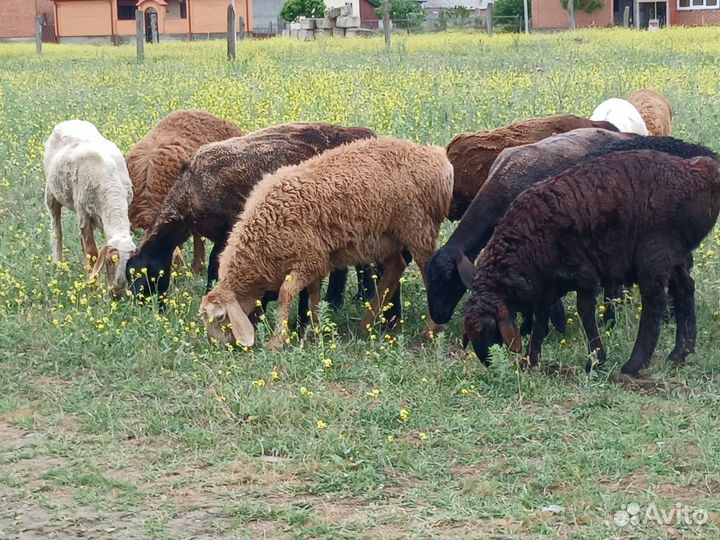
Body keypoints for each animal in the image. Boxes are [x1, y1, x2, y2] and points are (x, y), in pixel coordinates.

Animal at [44, 120, 136, 297]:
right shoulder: (84, 215)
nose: (117, 294)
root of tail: (70, 121)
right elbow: (92, 252)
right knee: (56, 230)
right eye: (109, 261)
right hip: (52, 193)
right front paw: (94, 291)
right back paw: (58, 265)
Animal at [200, 137, 453, 349]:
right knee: (395, 267)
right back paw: (366, 325)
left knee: (426, 270)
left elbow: (285, 294)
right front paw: (314, 330)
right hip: (385, 237)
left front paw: (278, 341)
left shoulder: (309, 259)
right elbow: (313, 294)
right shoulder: (314, 260)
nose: (218, 346)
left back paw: (430, 330)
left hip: (417, 227)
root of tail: (437, 158)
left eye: (220, 317)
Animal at [462, 149, 720, 377]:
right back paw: (680, 353)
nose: (487, 362)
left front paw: (595, 361)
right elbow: (540, 318)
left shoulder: (584, 274)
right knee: (685, 288)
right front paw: (531, 361)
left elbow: (585, 312)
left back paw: (634, 364)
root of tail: (700, 171)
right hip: (676, 252)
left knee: (654, 301)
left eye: (485, 328)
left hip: (655, 250)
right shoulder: (549, 284)